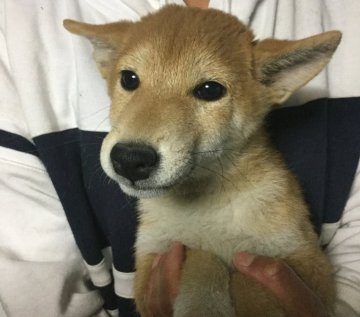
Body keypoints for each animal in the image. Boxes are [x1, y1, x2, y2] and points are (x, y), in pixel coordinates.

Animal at [64, 5, 340, 316]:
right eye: (129, 79)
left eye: (209, 90)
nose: (130, 158)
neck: (205, 206)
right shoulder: (149, 267)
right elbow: (200, 255)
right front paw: (203, 302)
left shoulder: (310, 271)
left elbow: (246, 280)